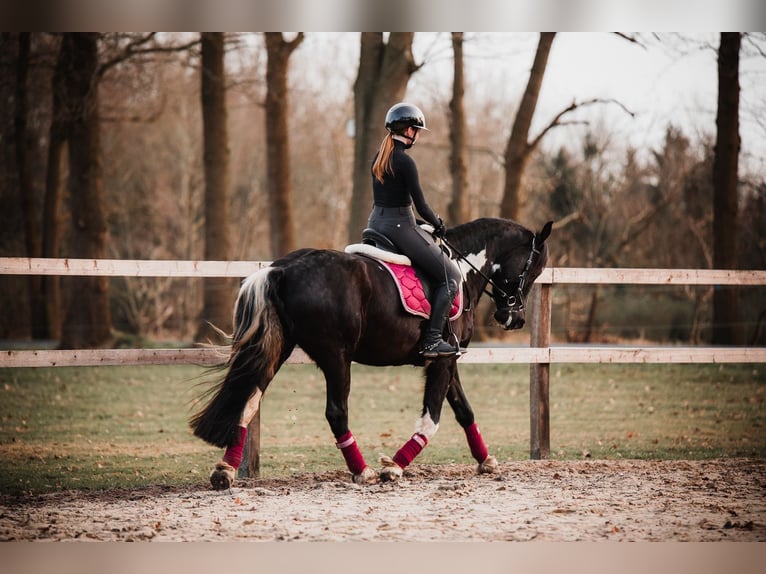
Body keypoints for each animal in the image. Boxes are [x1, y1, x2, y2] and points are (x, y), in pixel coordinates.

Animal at [191, 217, 552, 490]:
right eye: (533, 268)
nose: (514, 318)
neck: (461, 273)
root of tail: (282, 269)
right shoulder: (444, 359)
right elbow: (432, 418)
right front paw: (393, 466)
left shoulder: (447, 359)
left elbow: (464, 410)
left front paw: (485, 460)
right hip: (336, 357)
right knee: (336, 412)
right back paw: (361, 470)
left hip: (276, 349)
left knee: (249, 399)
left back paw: (225, 469)